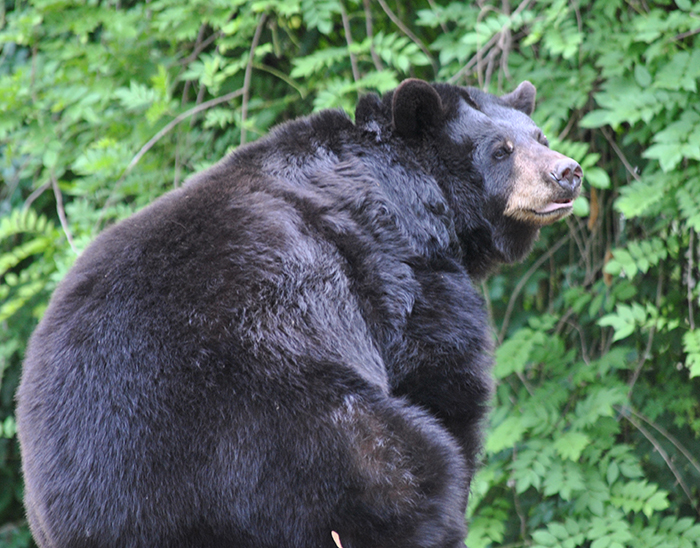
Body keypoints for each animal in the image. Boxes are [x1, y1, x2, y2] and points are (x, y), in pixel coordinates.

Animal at [17, 80, 580, 548]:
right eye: (500, 150)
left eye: (539, 134)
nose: (567, 171)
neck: (411, 194)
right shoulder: (399, 273)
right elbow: (442, 378)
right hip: (290, 426)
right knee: (404, 475)